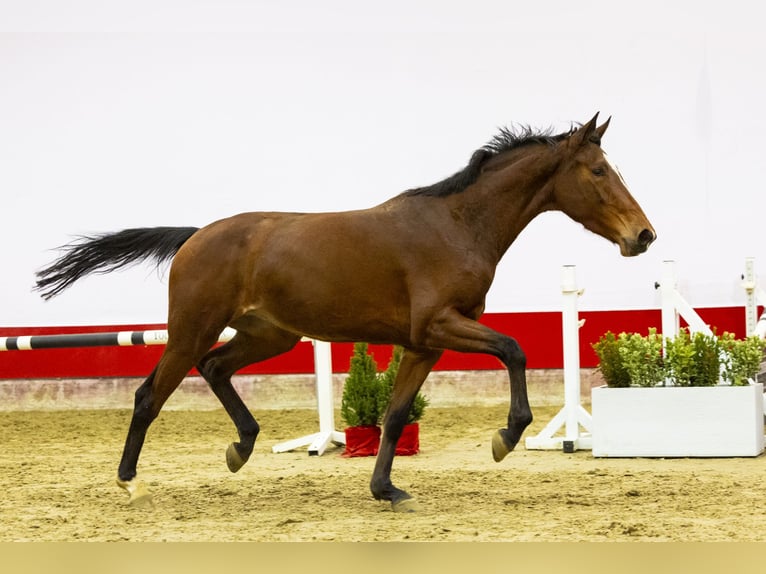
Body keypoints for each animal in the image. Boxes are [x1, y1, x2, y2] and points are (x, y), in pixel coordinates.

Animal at [36, 112, 656, 512]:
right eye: (598, 172)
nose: (644, 236)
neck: (456, 226)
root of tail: (195, 236)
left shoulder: (423, 343)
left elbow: (396, 415)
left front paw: (386, 490)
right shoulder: (440, 325)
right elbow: (514, 348)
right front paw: (505, 437)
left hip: (270, 337)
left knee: (214, 369)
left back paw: (242, 447)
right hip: (191, 330)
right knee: (150, 394)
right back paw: (131, 483)